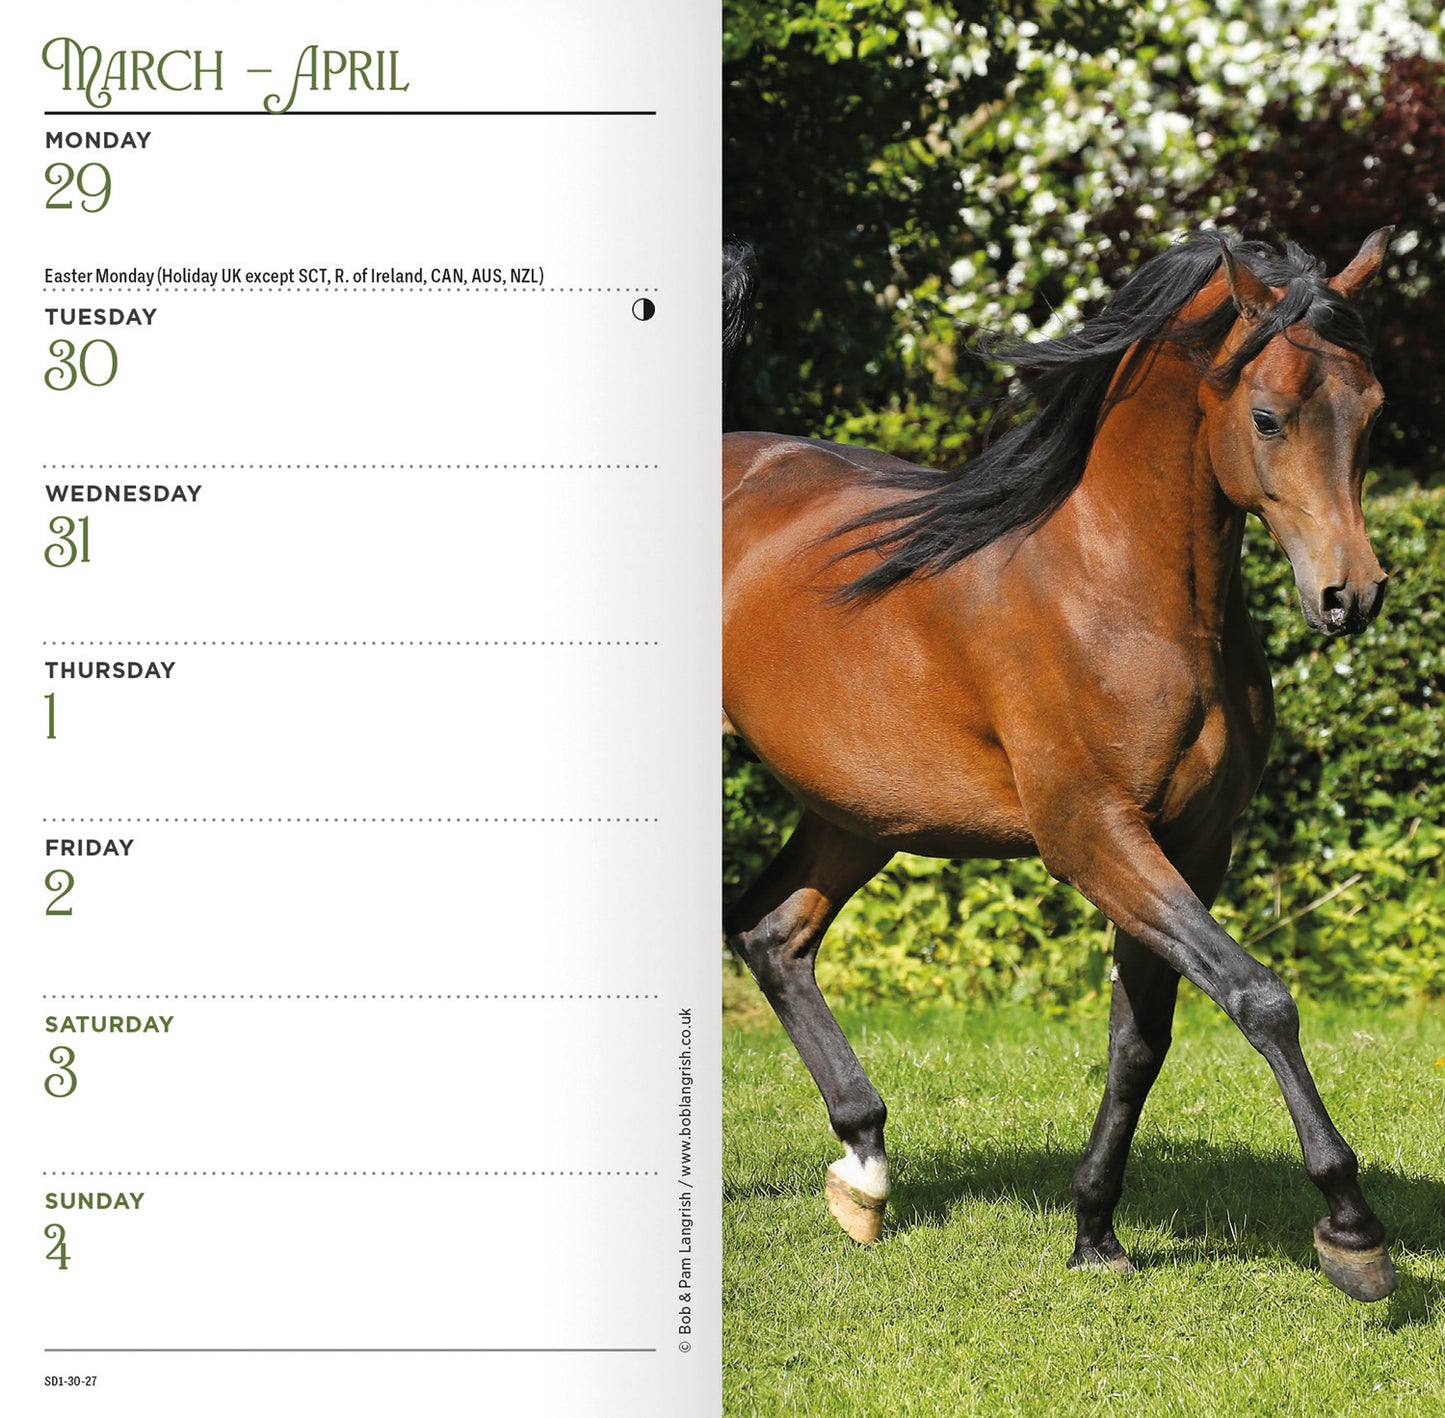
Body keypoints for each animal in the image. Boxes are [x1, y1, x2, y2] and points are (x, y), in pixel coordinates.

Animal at [722, 228, 1398, 1302]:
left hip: (857, 809)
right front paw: (1351, 1230)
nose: (1351, 595)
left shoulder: (1189, 844)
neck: (1117, 591)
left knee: (770, 934)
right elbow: (1259, 996)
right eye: (1267, 415)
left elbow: (1140, 1041)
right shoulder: (1091, 835)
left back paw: (864, 1173)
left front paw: (1094, 1233)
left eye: (1370, 410)